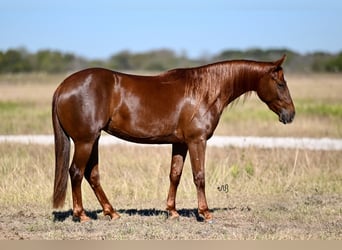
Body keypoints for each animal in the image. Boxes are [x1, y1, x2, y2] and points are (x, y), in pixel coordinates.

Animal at [52, 54, 296, 221]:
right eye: (280, 83)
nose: (290, 114)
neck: (204, 91)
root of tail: (63, 86)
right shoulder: (197, 141)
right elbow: (199, 176)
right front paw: (205, 212)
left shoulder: (179, 143)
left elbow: (175, 175)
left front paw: (172, 211)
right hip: (85, 141)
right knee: (76, 172)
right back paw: (81, 215)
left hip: (93, 140)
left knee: (91, 175)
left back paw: (111, 212)